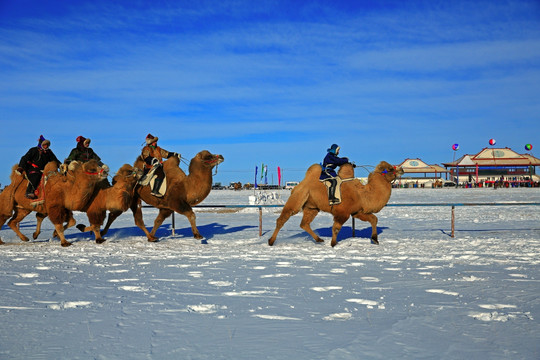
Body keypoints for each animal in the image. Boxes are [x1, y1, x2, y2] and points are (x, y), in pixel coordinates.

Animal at [268, 161, 402, 248]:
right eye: (390, 169)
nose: (401, 169)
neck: (363, 194)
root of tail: (299, 185)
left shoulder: (357, 211)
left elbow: (374, 219)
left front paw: (375, 239)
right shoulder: (343, 212)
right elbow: (336, 228)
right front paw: (333, 244)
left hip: (312, 207)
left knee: (304, 223)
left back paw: (319, 239)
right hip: (298, 198)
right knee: (283, 218)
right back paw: (271, 241)